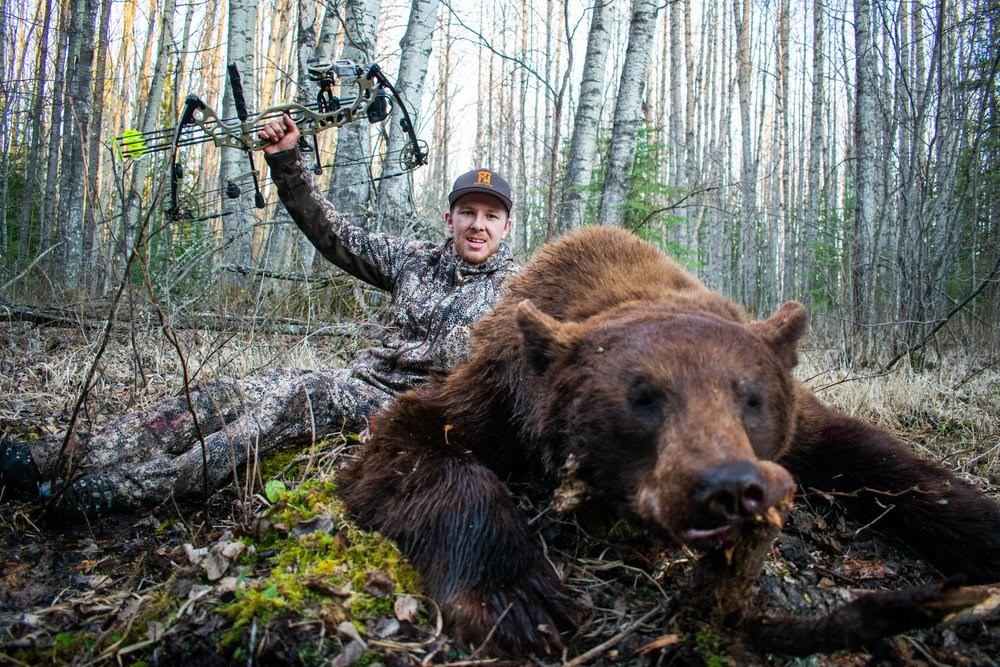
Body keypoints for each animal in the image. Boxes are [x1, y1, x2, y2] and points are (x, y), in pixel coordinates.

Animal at [336, 225, 1000, 655]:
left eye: (749, 397)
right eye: (644, 398)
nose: (729, 488)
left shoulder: (804, 421)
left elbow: (888, 462)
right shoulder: (500, 395)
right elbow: (413, 445)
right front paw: (516, 597)